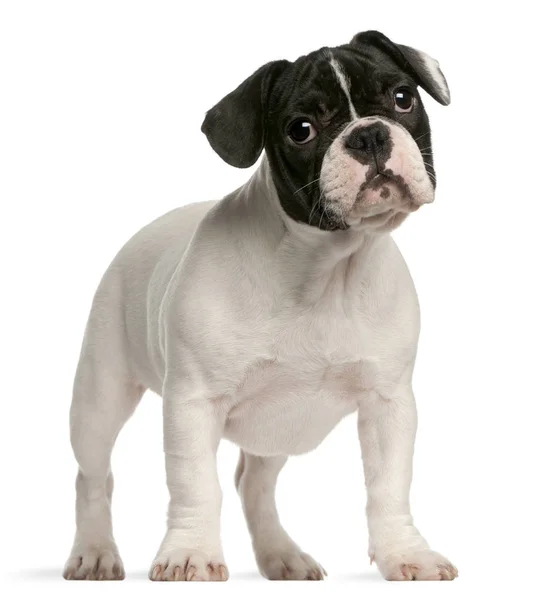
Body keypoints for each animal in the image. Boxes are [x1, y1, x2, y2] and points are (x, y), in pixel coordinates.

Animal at [64, 29, 460, 580]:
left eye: (404, 98)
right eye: (301, 130)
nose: (369, 136)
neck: (325, 270)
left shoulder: (389, 404)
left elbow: (389, 487)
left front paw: (407, 555)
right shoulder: (193, 404)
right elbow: (195, 486)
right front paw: (190, 554)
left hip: (278, 428)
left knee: (253, 482)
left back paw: (281, 554)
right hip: (100, 397)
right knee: (93, 476)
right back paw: (95, 551)